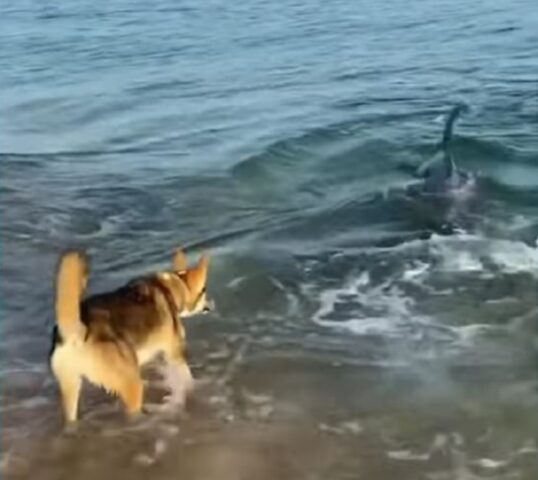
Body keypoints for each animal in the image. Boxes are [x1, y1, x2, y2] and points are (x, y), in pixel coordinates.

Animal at [48, 249, 211, 422]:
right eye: (204, 290)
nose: (209, 307)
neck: (172, 287)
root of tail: (77, 332)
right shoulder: (175, 352)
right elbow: (186, 377)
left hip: (70, 388)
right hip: (131, 386)